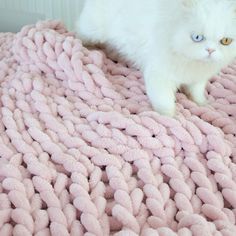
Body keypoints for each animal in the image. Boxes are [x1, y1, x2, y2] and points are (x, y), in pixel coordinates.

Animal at [76, 0, 236, 116]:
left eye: (225, 41)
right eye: (197, 37)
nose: (210, 50)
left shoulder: (198, 79)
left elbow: (196, 93)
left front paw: (202, 104)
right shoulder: (159, 76)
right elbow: (165, 102)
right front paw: (170, 118)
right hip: (91, 30)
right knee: (79, 34)